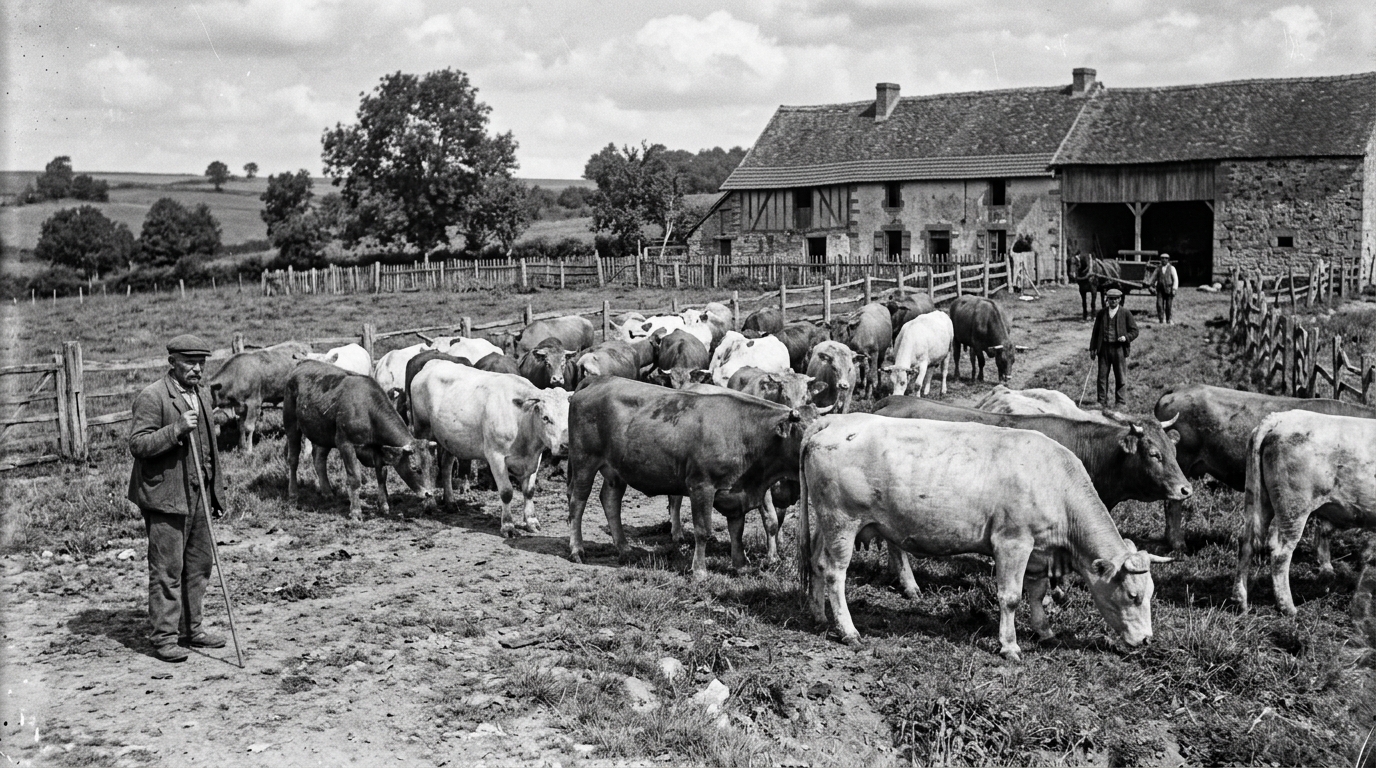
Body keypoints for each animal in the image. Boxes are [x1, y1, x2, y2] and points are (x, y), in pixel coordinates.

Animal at [284, 360, 433, 520]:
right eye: (415, 468)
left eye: (429, 466)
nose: (429, 493)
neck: (368, 408)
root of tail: (303, 363)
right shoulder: (345, 444)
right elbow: (355, 478)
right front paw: (356, 512)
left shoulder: (377, 447)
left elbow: (382, 475)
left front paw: (384, 506)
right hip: (291, 425)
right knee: (293, 459)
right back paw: (293, 494)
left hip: (323, 432)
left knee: (319, 459)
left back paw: (327, 492)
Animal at [410, 361, 570, 537]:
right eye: (546, 418)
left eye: (569, 415)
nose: (566, 445)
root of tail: (433, 363)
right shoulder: (496, 456)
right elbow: (506, 492)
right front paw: (508, 526)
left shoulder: (535, 457)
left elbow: (529, 490)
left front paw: (531, 522)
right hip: (423, 429)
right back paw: (429, 503)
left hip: (449, 439)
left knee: (446, 466)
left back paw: (450, 502)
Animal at [566, 377, 813, 576]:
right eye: (805, 432)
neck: (745, 432)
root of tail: (600, 379)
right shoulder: (701, 486)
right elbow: (703, 530)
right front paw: (700, 570)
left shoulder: (736, 493)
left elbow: (737, 530)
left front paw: (741, 565)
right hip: (584, 461)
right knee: (577, 502)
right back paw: (577, 549)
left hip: (616, 472)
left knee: (610, 501)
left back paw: (625, 549)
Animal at [797, 413, 1170, 660]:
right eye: (1134, 595)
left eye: (1152, 592)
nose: (1147, 640)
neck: (1054, 481)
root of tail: (833, 421)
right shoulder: (1012, 543)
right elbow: (1011, 597)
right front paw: (1009, 645)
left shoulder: (1038, 552)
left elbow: (1036, 593)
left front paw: (1044, 630)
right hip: (843, 522)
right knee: (835, 573)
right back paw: (848, 630)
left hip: (827, 524)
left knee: (817, 562)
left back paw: (817, 614)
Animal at [1234, 411, 1376, 615]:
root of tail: (1279, 417)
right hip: (1294, 507)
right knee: (1280, 552)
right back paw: (1288, 608)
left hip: (1256, 497)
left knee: (1247, 542)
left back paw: (1241, 602)